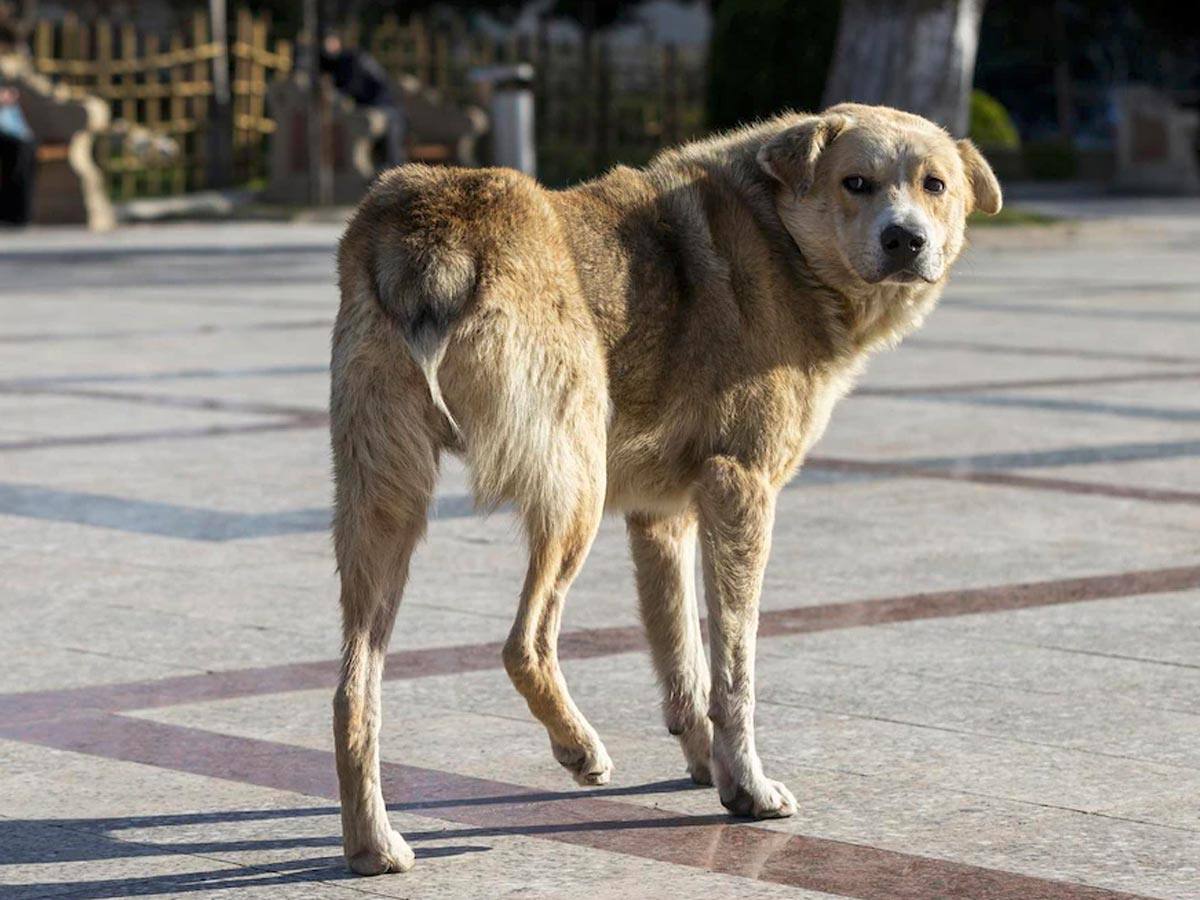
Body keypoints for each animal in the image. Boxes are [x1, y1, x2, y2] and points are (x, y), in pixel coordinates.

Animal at [331, 103, 1003, 873]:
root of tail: (436, 225)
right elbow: (734, 669)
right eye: (855, 182)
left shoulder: (660, 517)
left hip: (383, 509)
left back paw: (372, 844)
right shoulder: (739, 491)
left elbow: (683, 659)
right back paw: (578, 748)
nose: (905, 239)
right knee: (523, 644)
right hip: (575, 492)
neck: (779, 237)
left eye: (935, 185)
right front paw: (749, 788)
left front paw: (709, 769)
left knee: (353, 691)